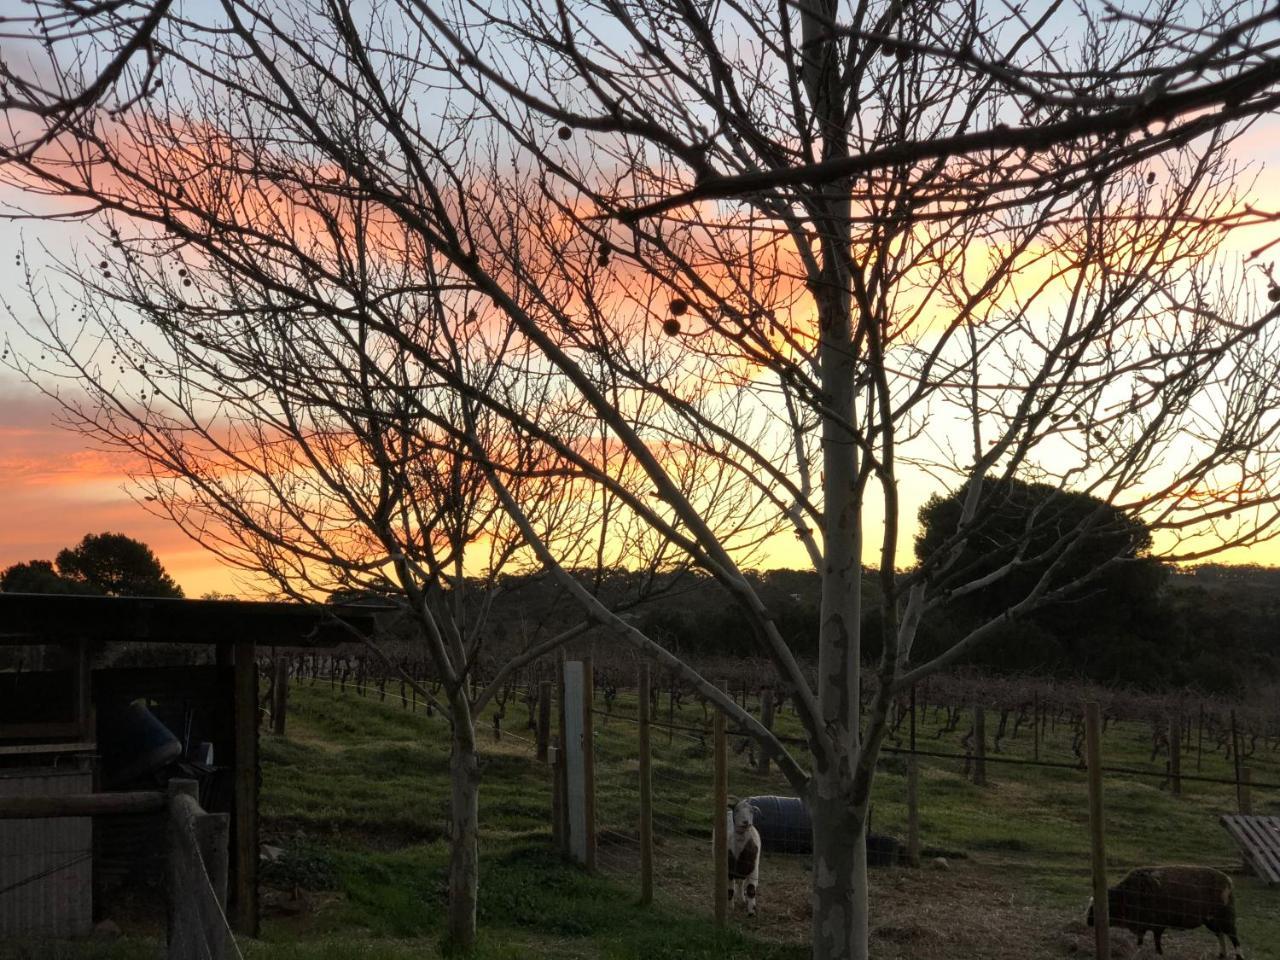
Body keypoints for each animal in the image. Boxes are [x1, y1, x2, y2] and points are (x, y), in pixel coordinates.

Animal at [1085, 870, 1244, 957]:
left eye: (1097, 907)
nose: (1088, 921)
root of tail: (1228, 880)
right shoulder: (1142, 924)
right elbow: (1140, 940)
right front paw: (1139, 950)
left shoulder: (1158, 924)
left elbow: (1156, 939)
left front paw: (1159, 953)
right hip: (1211, 920)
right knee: (1220, 934)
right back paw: (1221, 955)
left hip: (1225, 917)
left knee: (1233, 937)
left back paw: (1238, 956)